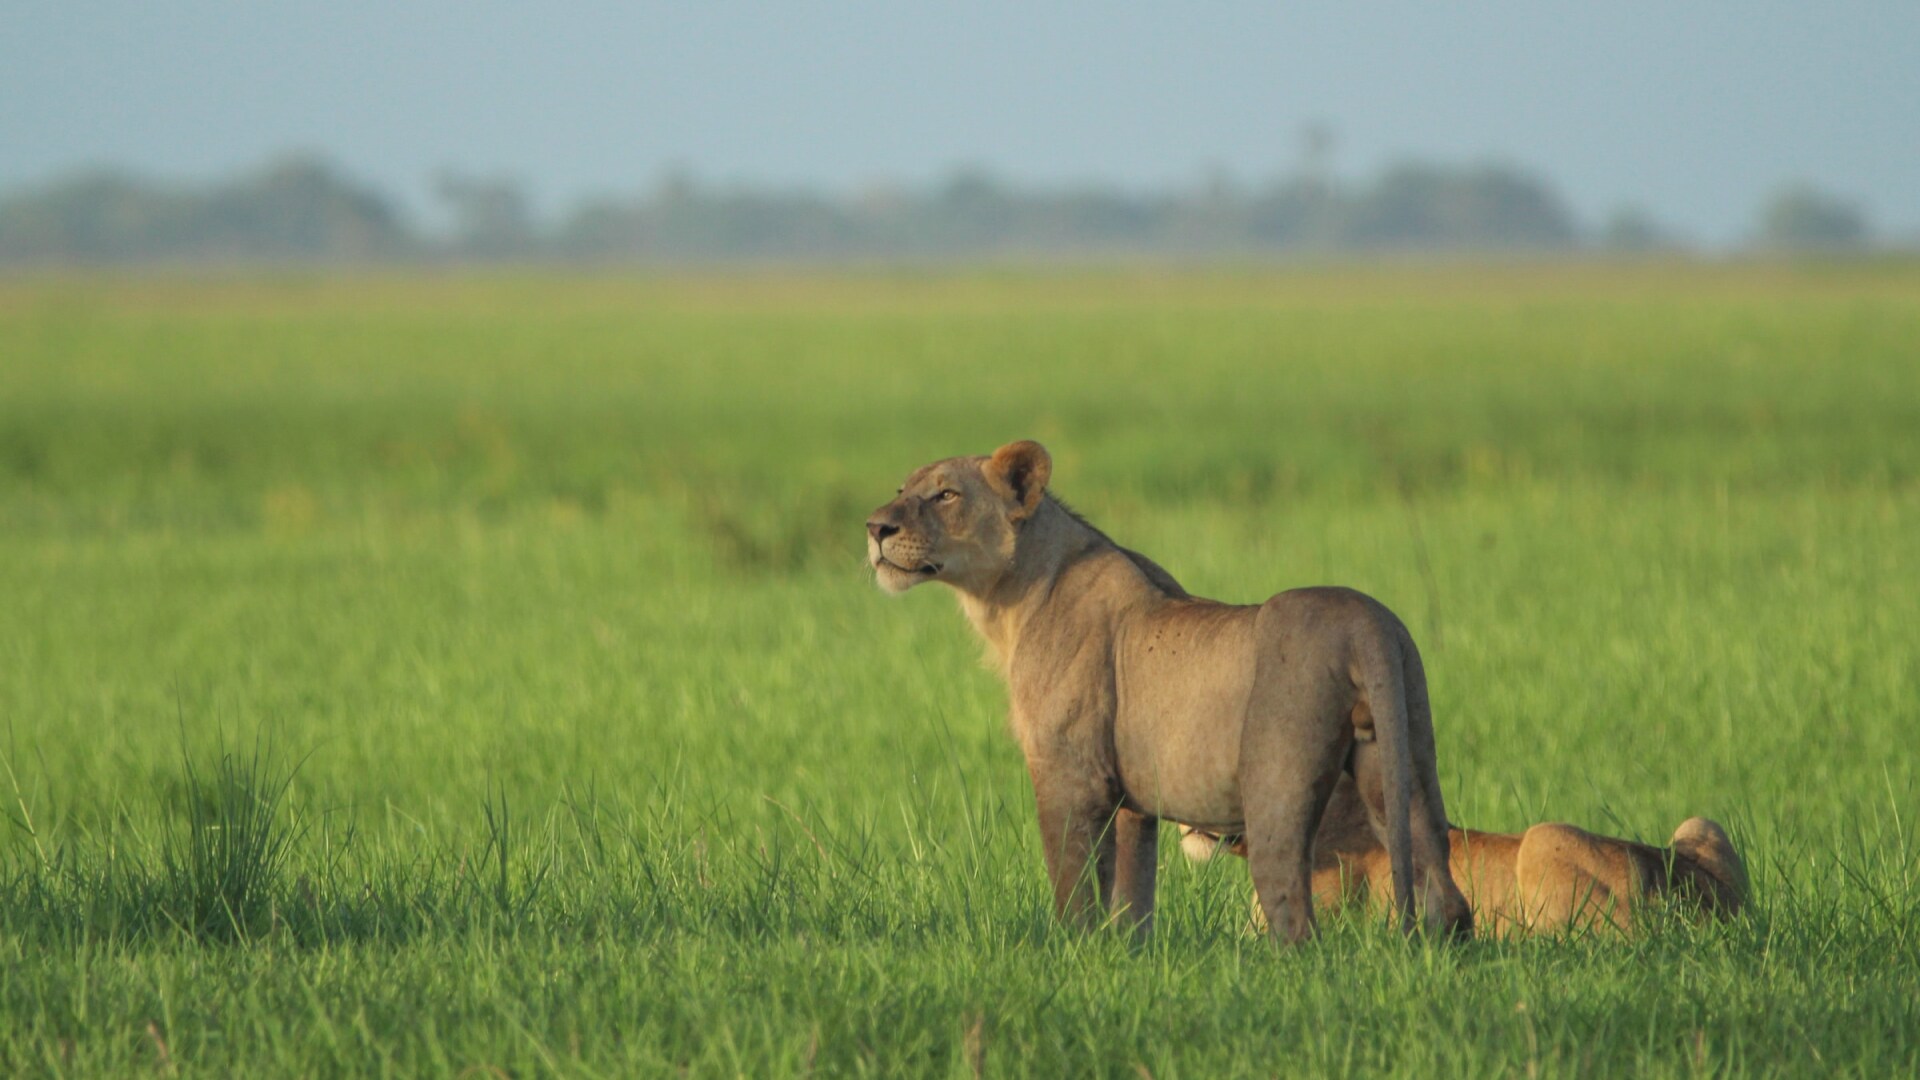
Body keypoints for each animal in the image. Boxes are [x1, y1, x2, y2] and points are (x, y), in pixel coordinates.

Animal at [864, 441, 1474, 937]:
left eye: (945, 494)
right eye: (902, 491)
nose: (875, 528)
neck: (1009, 598)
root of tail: (1366, 622)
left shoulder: (1070, 776)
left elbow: (1074, 888)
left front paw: (1070, 955)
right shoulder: (1133, 799)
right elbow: (1132, 899)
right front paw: (1123, 961)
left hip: (1276, 787)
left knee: (1292, 914)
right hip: (1404, 760)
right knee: (1443, 889)